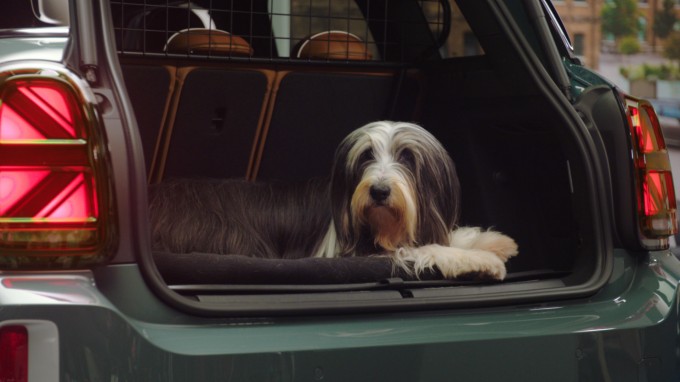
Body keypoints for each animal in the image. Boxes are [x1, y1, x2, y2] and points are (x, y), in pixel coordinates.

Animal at [150, 121, 516, 280]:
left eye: (407, 158)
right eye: (367, 155)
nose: (379, 191)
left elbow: (444, 237)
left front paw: (493, 242)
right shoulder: (355, 251)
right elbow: (424, 249)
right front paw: (482, 261)